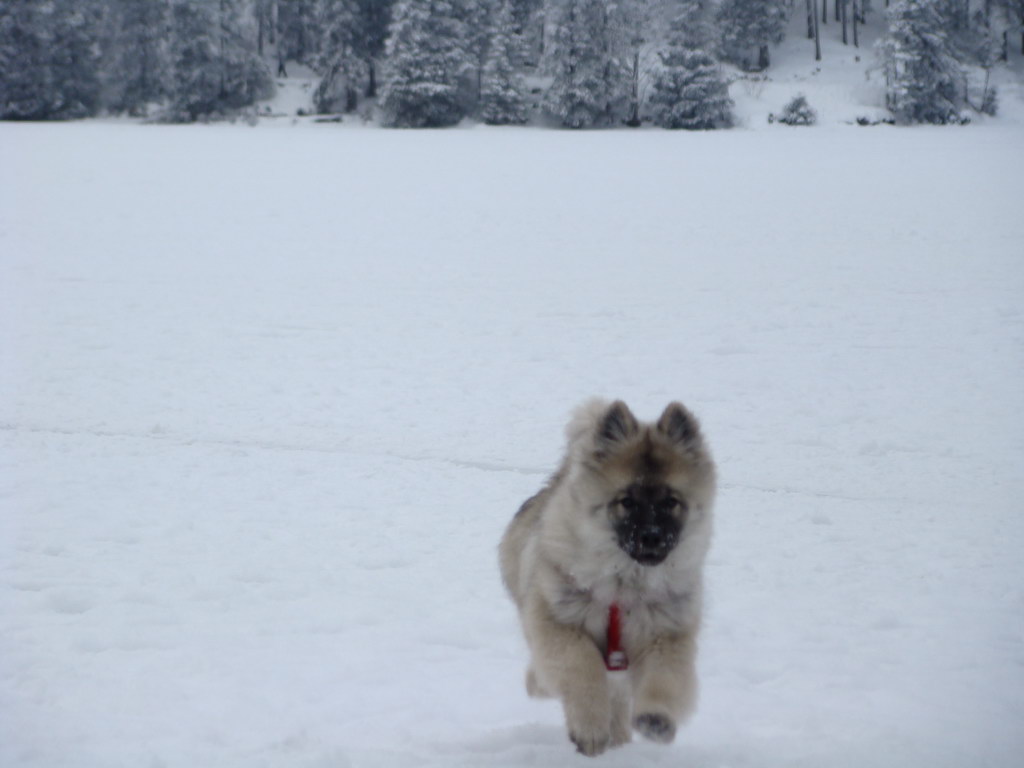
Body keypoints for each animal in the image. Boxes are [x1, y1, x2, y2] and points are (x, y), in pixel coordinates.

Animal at [499, 403, 716, 757]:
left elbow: (665, 678)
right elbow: (582, 668)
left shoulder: (664, 634)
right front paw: (590, 729)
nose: (652, 537)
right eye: (627, 501)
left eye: (670, 502)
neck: (625, 585)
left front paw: (656, 719)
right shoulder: (560, 625)